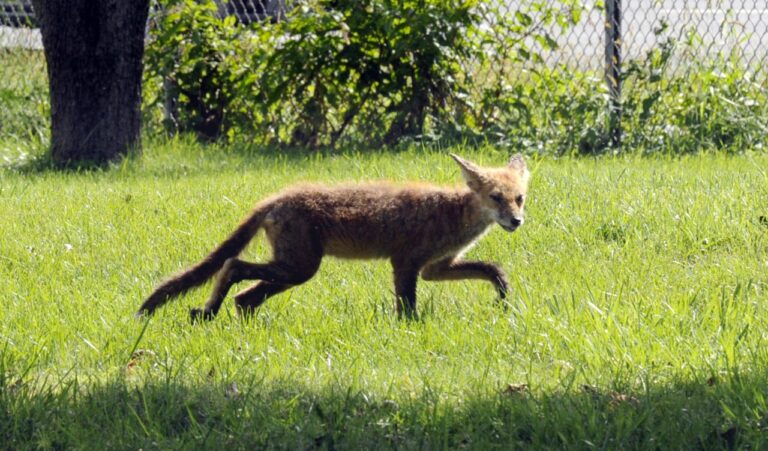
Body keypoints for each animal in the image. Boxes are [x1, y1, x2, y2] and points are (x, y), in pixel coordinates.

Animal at [136, 153, 530, 321]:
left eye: (519, 198)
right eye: (496, 197)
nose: (516, 221)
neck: (452, 215)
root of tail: (274, 198)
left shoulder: (435, 268)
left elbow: (493, 269)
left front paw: (503, 298)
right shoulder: (405, 263)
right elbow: (407, 308)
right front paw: (410, 330)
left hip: (292, 271)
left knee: (244, 295)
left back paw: (226, 319)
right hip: (299, 268)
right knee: (232, 266)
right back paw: (210, 311)